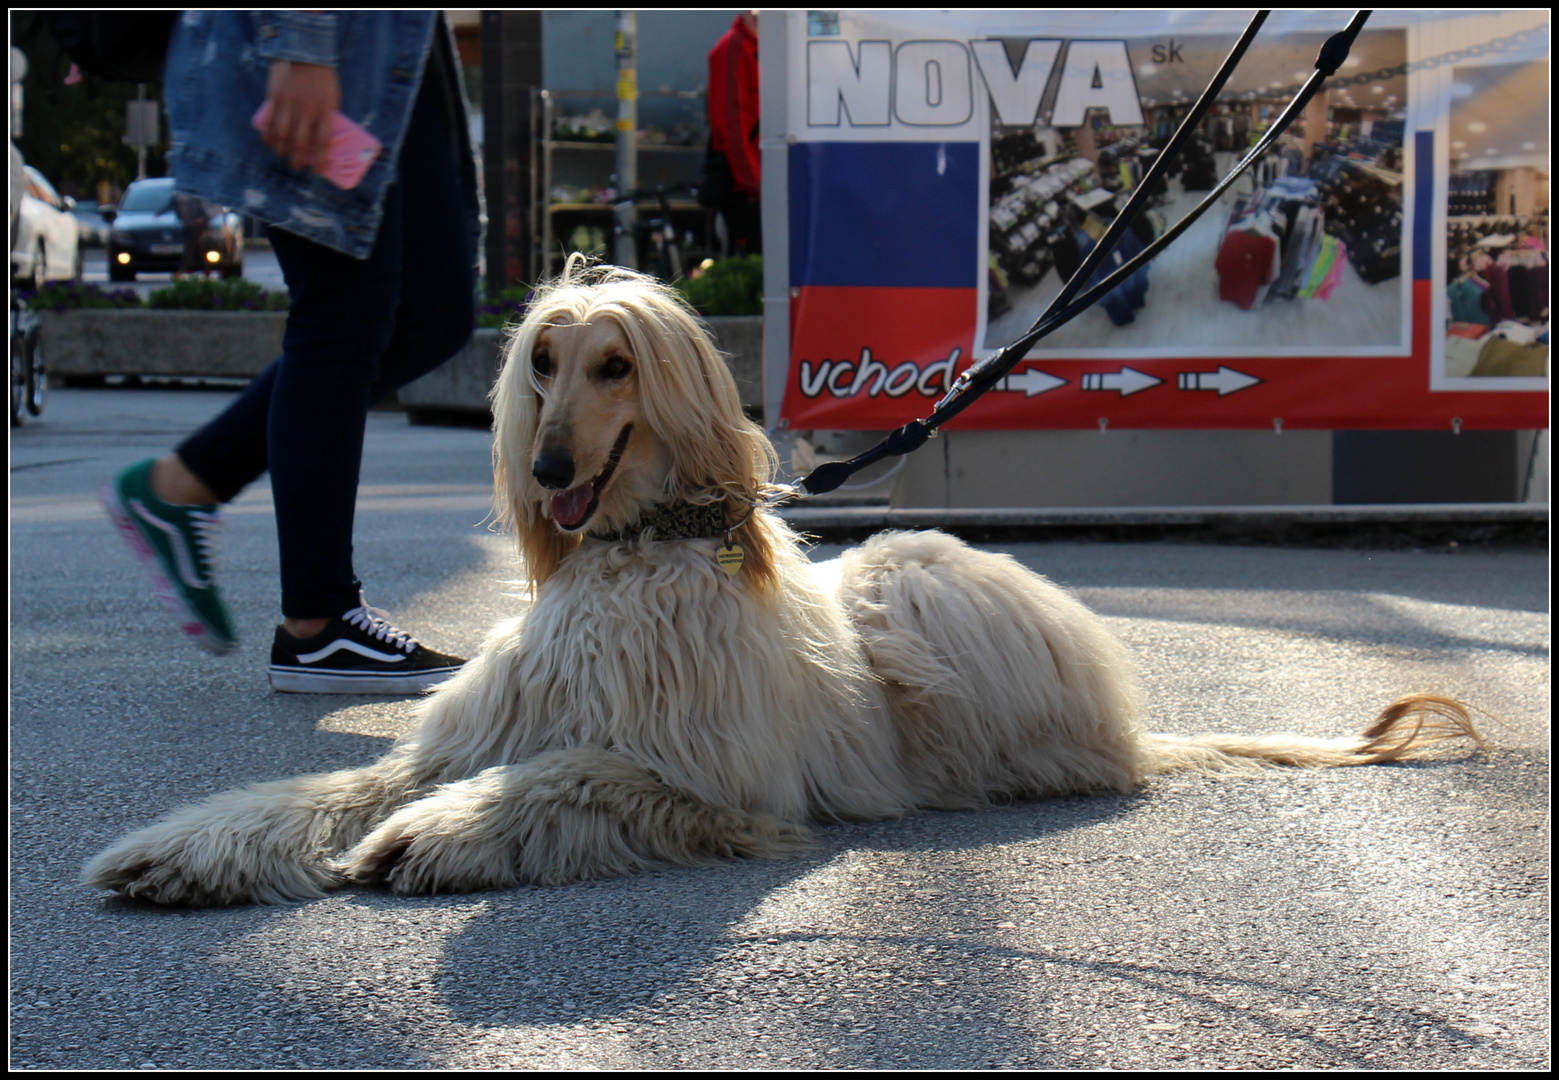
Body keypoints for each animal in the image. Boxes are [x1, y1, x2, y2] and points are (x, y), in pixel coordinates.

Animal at [82, 258, 1484, 903]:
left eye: (616, 365)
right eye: (540, 359)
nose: (545, 471)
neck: (628, 560)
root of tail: (1124, 718)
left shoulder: (700, 772)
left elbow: (562, 779)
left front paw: (432, 837)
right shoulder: (469, 729)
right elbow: (330, 785)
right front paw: (181, 851)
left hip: (914, 580)